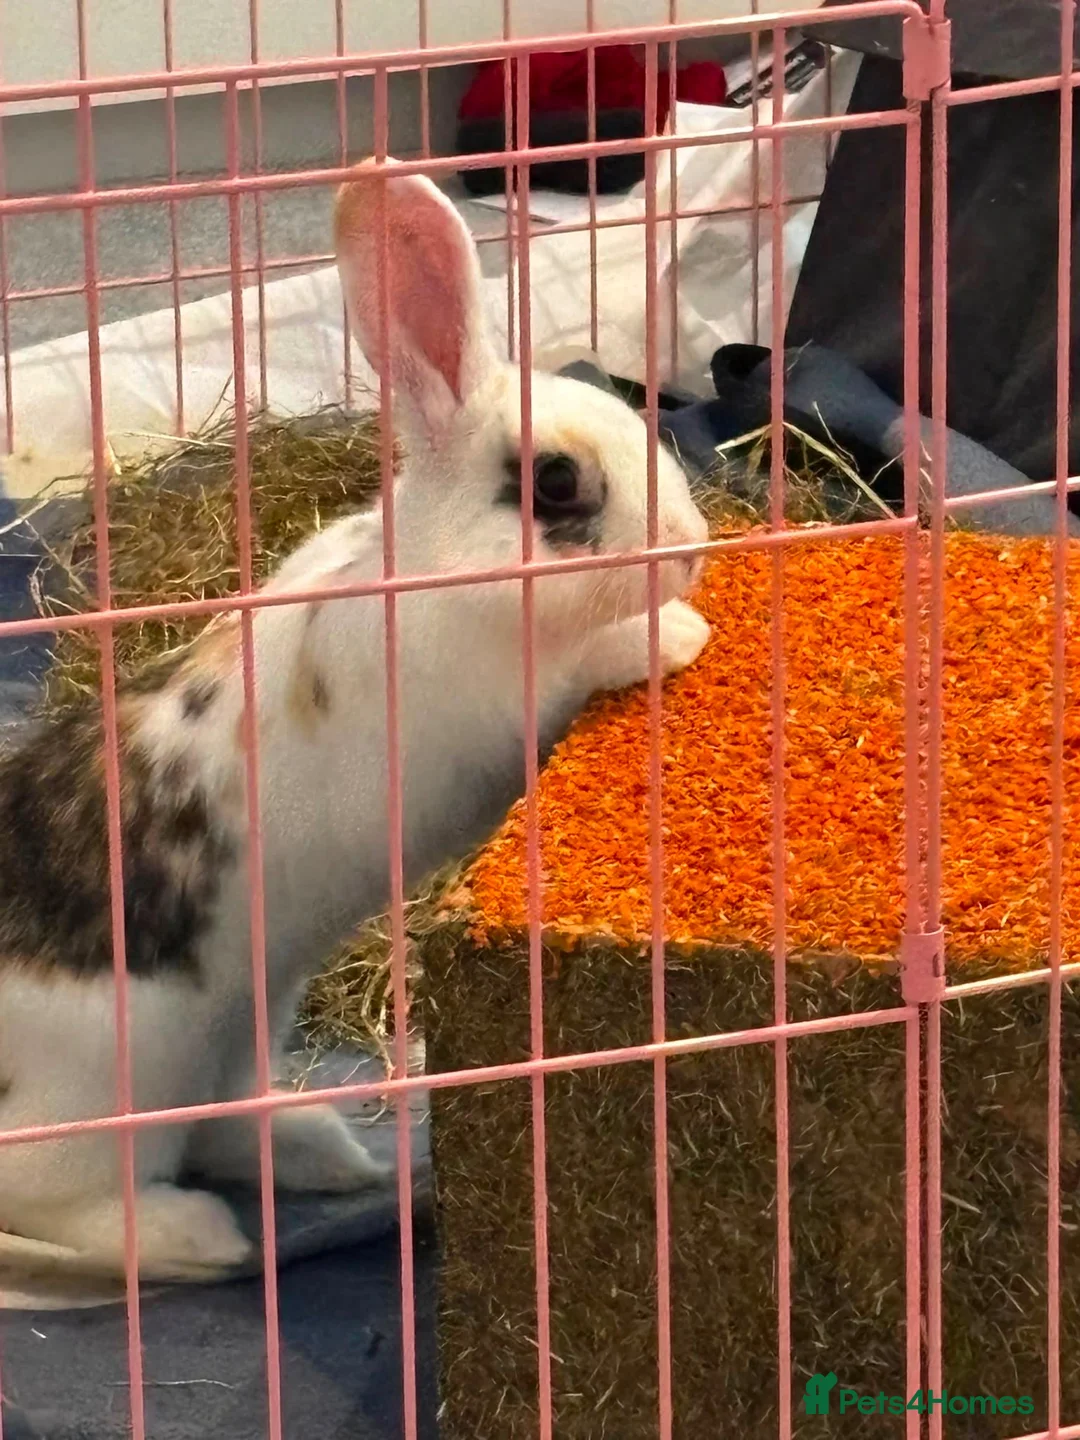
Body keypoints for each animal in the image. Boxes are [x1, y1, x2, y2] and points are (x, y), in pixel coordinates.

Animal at [0, 163, 710, 1281]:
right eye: (555, 483)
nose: (690, 547)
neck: (431, 576)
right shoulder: (494, 705)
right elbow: (579, 668)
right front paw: (673, 633)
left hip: (236, 1034)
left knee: (220, 1132)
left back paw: (324, 1152)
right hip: (106, 1096)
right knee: (66, 1200)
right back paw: (201, 1237)